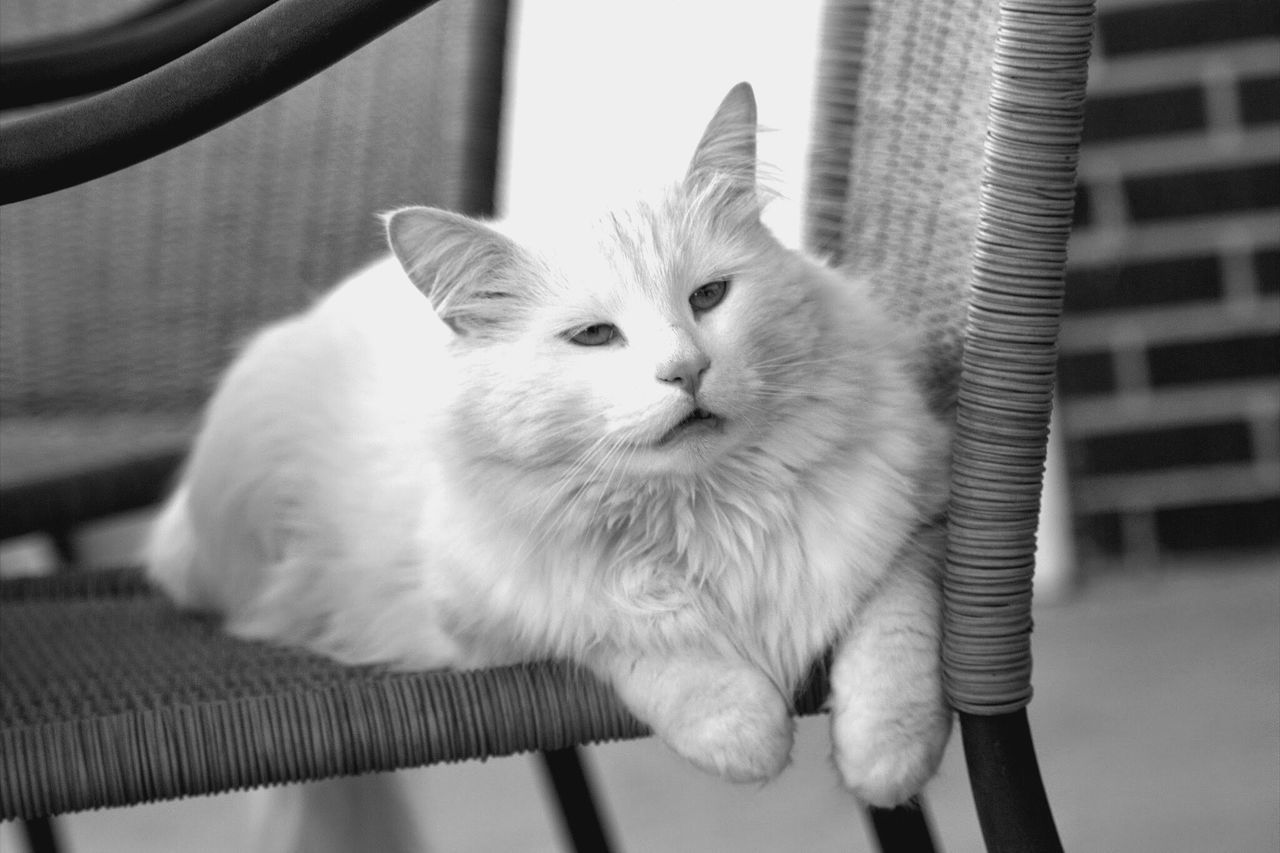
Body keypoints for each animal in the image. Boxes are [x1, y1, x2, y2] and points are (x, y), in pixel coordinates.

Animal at [145, 83, 957, 809]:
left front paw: (886, 762)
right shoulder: (502, 614)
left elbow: (896, 645)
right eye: (595, 336)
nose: (687, 371)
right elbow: (649, 643)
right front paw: (747, 736)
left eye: (709, 297)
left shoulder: (920, 519)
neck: (710, 512)